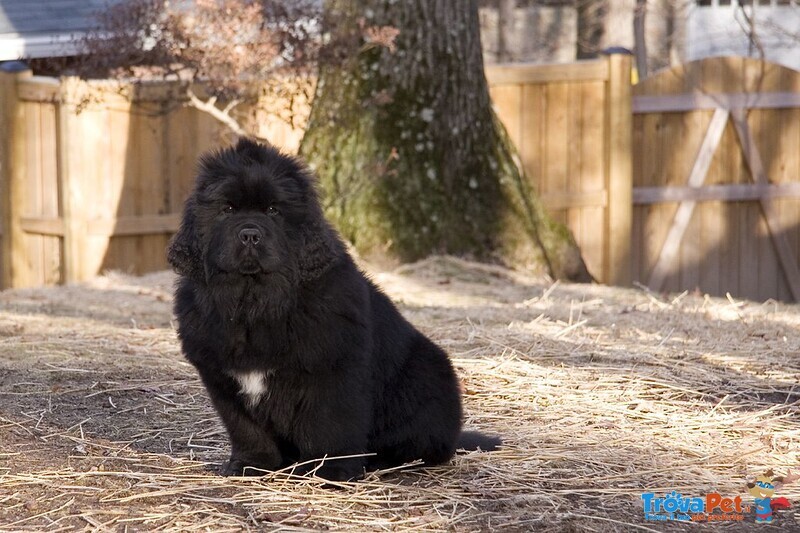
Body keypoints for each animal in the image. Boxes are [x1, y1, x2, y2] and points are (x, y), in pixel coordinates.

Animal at [166, 137, 496, 478]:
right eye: (228, 209)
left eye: (273, 210)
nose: (250, 234)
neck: (255, 302)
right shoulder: (223, 380)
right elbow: (246, 429)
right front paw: (250, 465)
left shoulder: (331, 370)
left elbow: (330, 426)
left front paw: (330, 472)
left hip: (425, 374)